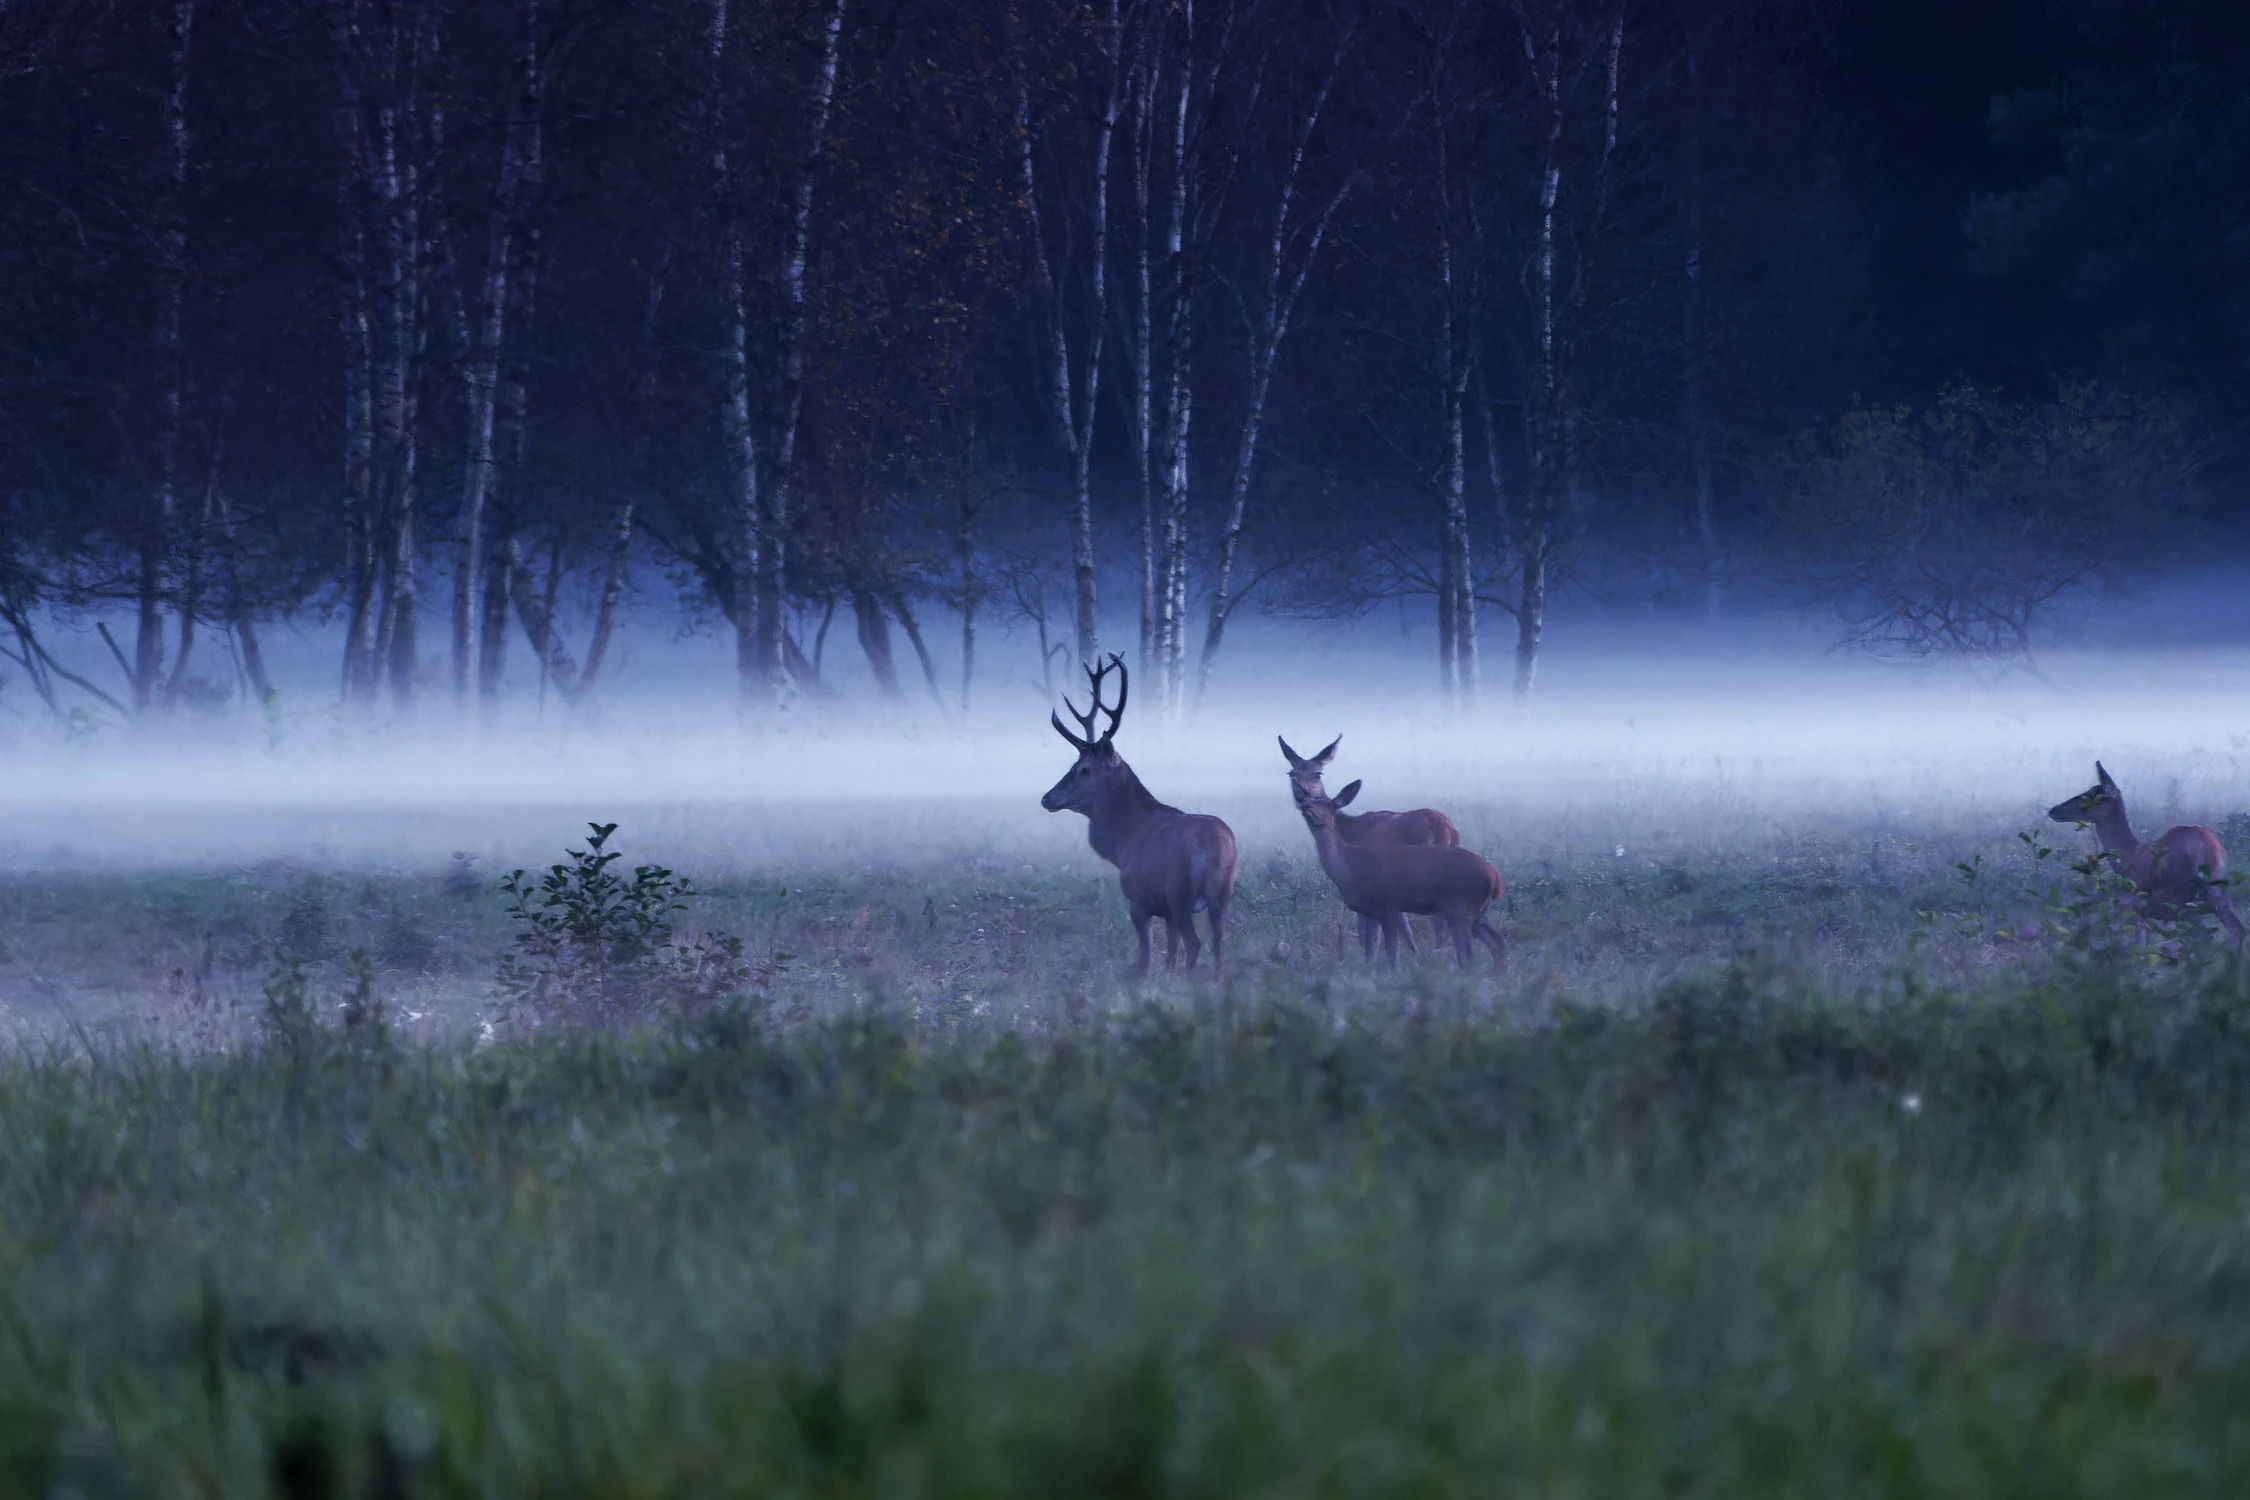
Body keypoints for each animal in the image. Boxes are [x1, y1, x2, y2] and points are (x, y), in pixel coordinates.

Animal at [2052, 764, 2241, 949]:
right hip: (2216, 894)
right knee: (2235, 930)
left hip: (2178, 897)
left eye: (2094, 795)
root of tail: (2209, 849)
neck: (2127, 858)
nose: (2053, 810)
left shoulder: (2135, 905)